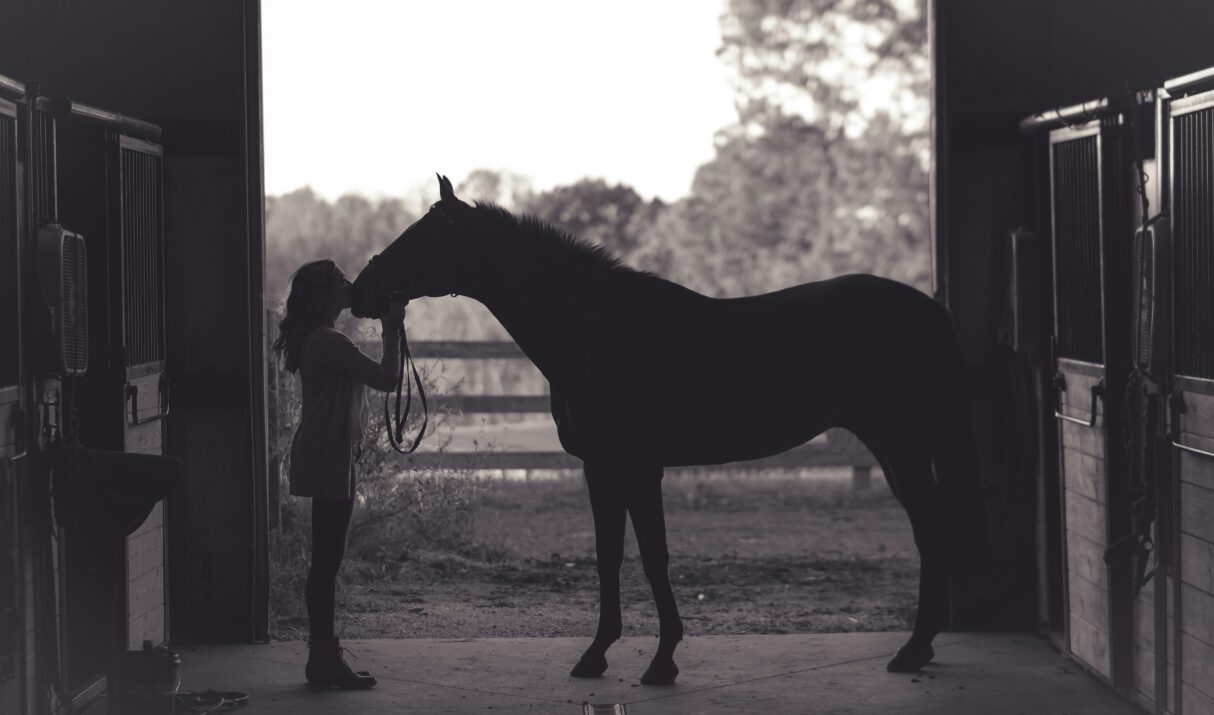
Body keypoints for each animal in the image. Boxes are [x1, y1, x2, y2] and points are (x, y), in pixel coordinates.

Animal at [351, 174, 986, 685]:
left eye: (426, 237)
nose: (360, 291)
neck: (596, 330)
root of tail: (929, 309)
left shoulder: (639, 466)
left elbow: (654, 557)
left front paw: (661, 662)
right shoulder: (600, 467)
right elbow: (609, 556)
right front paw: (596, 656)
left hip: (903, 445)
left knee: (933, 532)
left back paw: (912, 651)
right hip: (893, 446)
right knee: (932, 531)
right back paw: (919, 649)